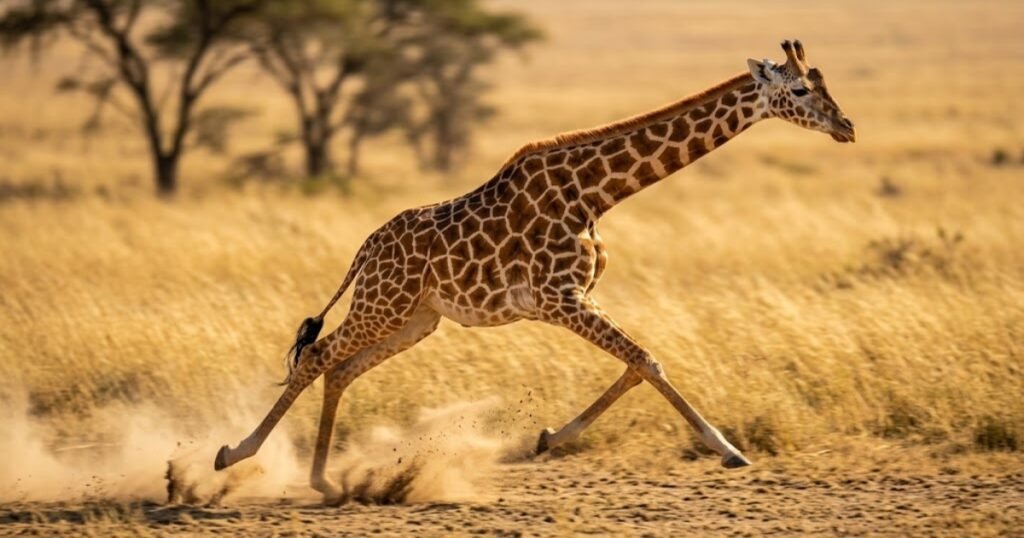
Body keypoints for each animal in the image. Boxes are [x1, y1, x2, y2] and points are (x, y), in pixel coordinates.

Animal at [214, 40, 855, 500]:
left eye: (826, 84)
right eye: (800, 88)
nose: (846, 127)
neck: (598, 193)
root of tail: (366, 249)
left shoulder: (574, 297)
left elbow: (638, 362)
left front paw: (546, 438)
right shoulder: (559, 297)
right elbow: (646, 358)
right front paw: (728, 449)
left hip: (416, 319)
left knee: (340, 369)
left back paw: (325, 480)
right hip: (384, 304)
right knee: (319, 357)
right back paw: (234, 455)